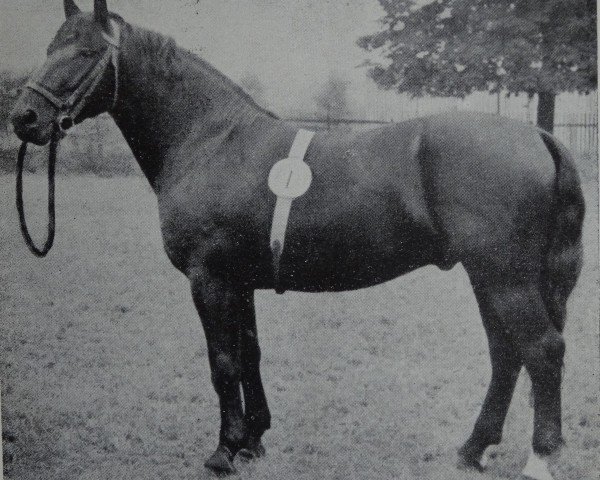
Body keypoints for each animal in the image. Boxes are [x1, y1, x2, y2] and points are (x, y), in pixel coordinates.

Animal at [11, 1, 584, 478]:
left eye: (86, 52)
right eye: (49, 48)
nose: (24, 117)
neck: (211, 140)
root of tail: (538, 135)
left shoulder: (209, 280)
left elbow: (223, 363)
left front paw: (223, 452)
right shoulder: (239, 281)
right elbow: (249, 354)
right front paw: (253, 441)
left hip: (503, 277)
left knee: (542, 349)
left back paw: (539, 459)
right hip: (490, 278)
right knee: (507, 354)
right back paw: (472, 449)